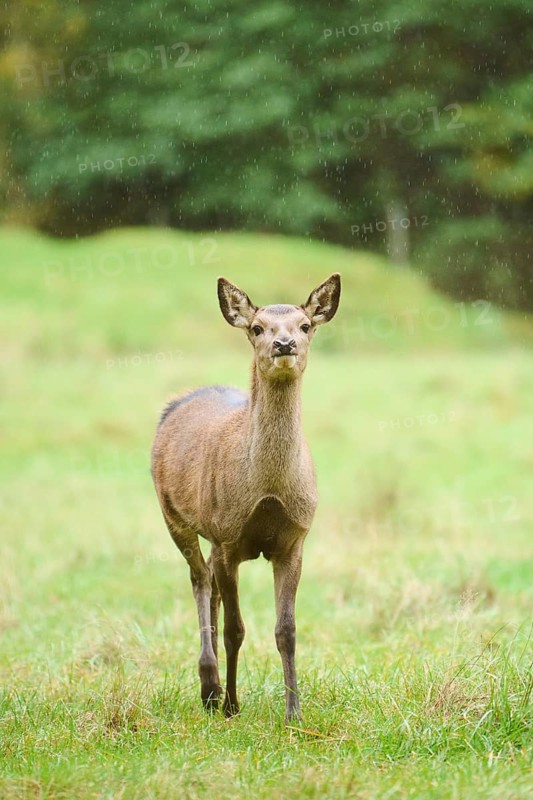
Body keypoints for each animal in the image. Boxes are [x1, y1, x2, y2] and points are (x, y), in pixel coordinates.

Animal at [151, 273, 341, 722]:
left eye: (305, 325)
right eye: (257, 328)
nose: (284, 344)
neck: (267, 492)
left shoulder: (295, 538)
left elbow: (286, 630)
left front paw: (294, 713)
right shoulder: (228, 536)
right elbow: (236, 628)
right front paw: (232, 706)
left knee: (210, 583)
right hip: (174, 515)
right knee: (200, 580)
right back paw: (210, 687)